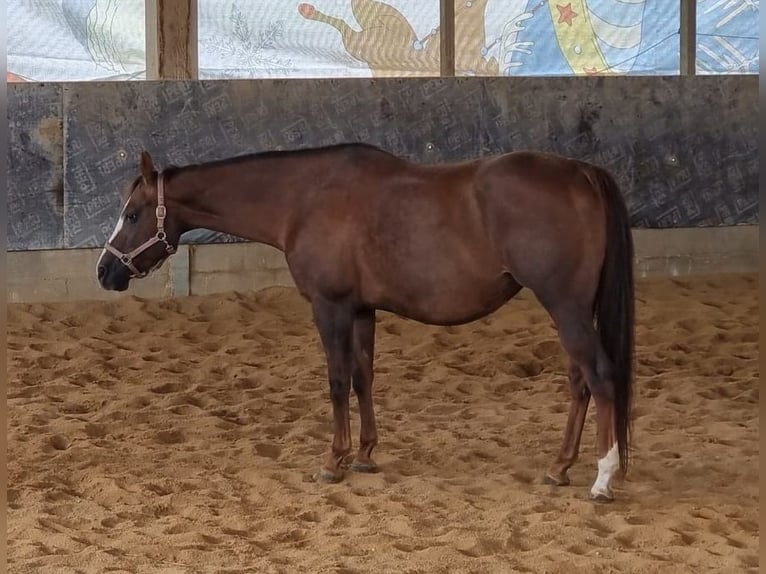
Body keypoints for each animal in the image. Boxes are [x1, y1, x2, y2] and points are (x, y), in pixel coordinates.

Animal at [96, 145, 636, 504]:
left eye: (132, 214)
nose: (104, 271)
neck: (303, 199)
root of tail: (582, 172)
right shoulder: (360, 310)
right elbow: (362, 377)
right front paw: (365, 454)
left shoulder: (330, 306)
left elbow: (336, 380)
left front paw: (333, 461)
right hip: (572, 308)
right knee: (580, 382)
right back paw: (559, 467)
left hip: (564, 305)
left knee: (600, 376)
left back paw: (602, 478)